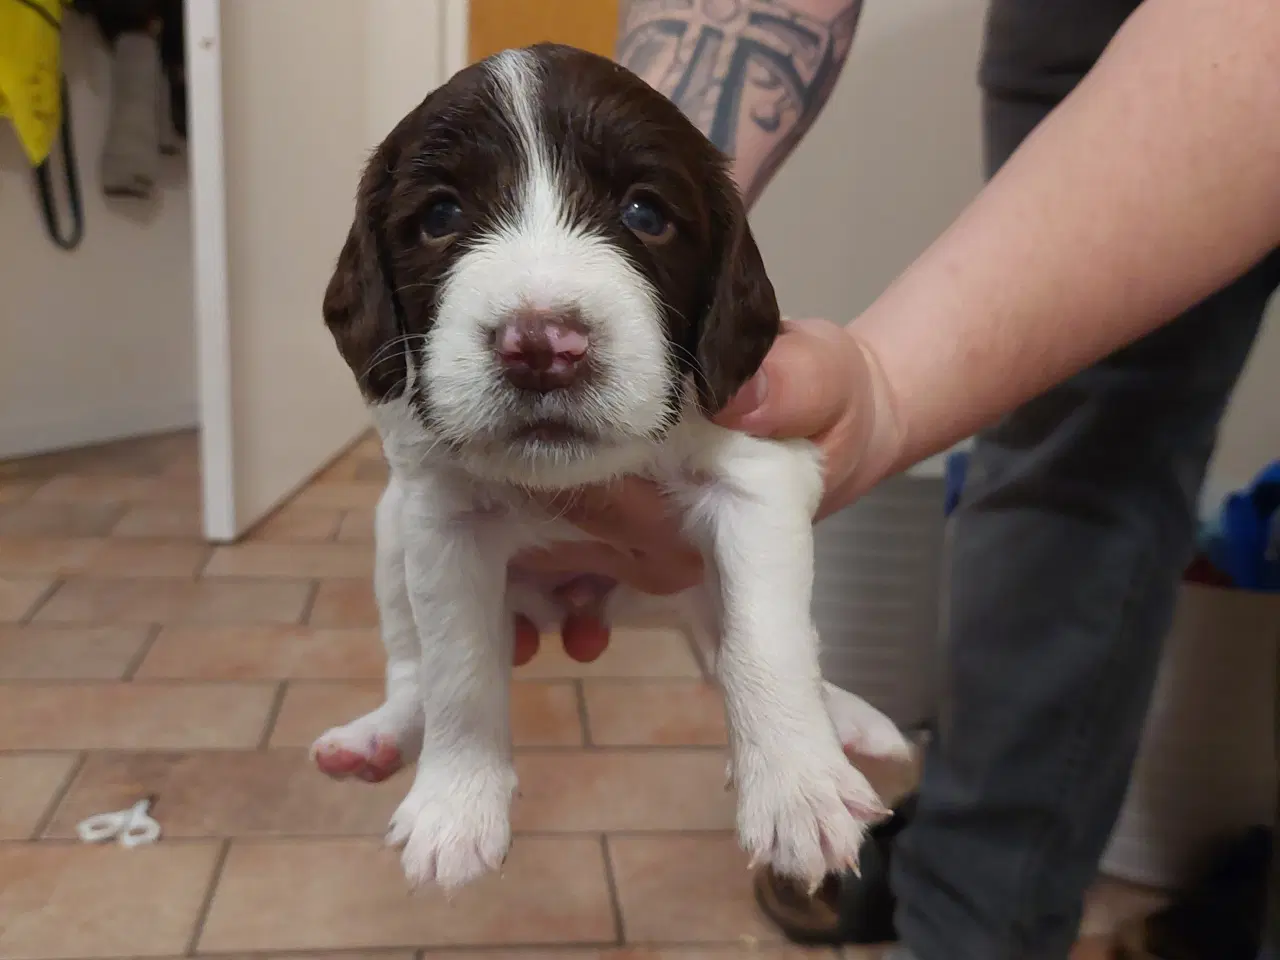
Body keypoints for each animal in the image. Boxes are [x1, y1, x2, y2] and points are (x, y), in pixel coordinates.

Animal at [311, 43, 911, 896]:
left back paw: (844, 719)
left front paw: (799, 789)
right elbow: (457, 668)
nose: (541, 347)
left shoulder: (755, 477)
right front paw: (457, 803)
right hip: (391, 532)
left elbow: (768, 643)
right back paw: (381, 735)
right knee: (410, 666)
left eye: (645, 214)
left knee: (739, 648)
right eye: (439, 218)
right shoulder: (439, 519)